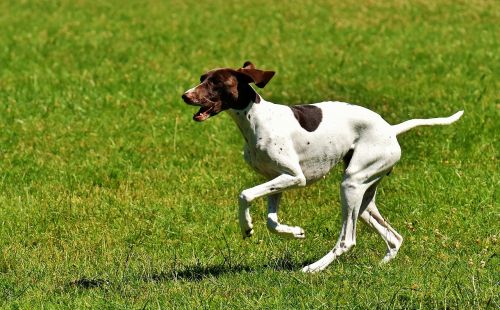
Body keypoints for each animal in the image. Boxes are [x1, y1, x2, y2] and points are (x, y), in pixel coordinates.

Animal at [182, 61, 462, 272]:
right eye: (202, 78)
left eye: (215, 82)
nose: (185, 95)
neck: (257, 119)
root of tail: (391, 130)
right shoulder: (278, 180)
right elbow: (272, 222)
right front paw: (295, 232)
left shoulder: (295, 177)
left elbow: (245, 194)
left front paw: (246, 226)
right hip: (364, 198)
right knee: (394, 237)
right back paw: (379, 266)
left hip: (350, 185)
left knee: (347, 240)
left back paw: (314, 268)